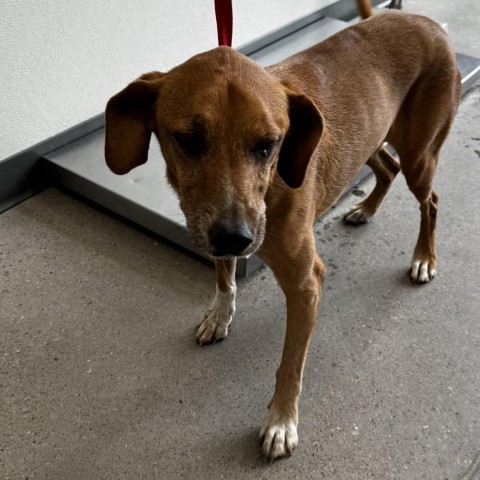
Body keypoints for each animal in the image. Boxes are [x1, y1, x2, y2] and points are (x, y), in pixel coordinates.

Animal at [104, 0, 462, 462]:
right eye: (188, 140)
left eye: (268, 144)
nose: (235, 237)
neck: (273, 186)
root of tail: (422, 19)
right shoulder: (216, 229)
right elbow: (224, 278)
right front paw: (220, 315)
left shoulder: (305, 282)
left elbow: (291, 362)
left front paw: (281, 421)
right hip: (372, 141)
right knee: (388, 168)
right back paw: (364, 209)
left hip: (421, 155)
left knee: (429, 200)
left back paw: (423, 258)